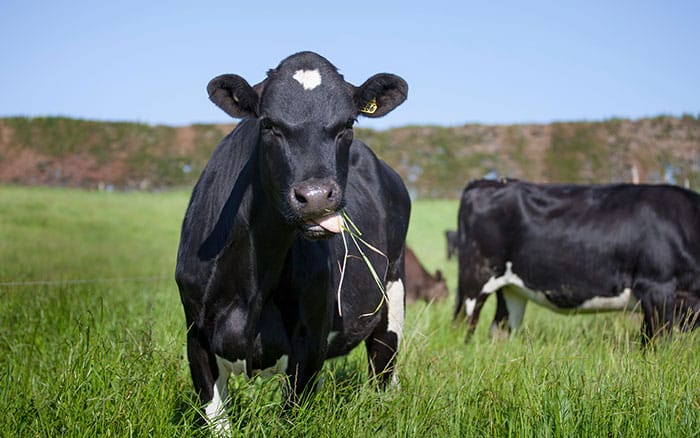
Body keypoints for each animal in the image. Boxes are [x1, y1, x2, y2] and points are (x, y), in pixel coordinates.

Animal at [175, 51, 412, 432]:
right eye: (269, 124)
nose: (315, 196)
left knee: (382, 374)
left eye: (348, 124)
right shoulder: (196, 336)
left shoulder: (309, 342)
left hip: (393, 295)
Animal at [454, 178, 700, 346]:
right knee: (463, 324)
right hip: (475, 280)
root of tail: (486, 182)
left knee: (501, 329)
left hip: (511, 288)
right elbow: (657, 343)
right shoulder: (656, 288)